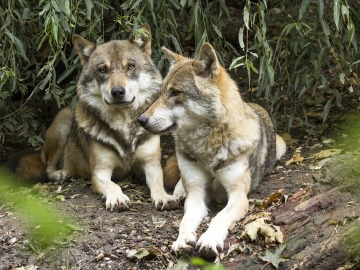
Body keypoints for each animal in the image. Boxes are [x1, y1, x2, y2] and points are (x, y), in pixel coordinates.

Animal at [16, 24, 179, 212]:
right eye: (102, 70)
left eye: (130, 66)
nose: (117, 92)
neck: (123, 124)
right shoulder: (100, 171)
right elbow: (113, 185)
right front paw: (117, 198)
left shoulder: (151, 164)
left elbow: (159, 183)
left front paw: (164, 197)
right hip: (63, 122)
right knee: (47, 166)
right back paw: (61, 173)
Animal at [138, 42, 286, 258]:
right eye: (162, 92)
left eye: (175, 92)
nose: (140, 120)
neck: (207, 148)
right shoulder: (197, 195)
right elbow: (185, 221)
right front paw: (182, 240)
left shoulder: (238, 196)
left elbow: (220, 217)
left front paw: (209, 239)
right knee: (181, 184)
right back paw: (178, 193)